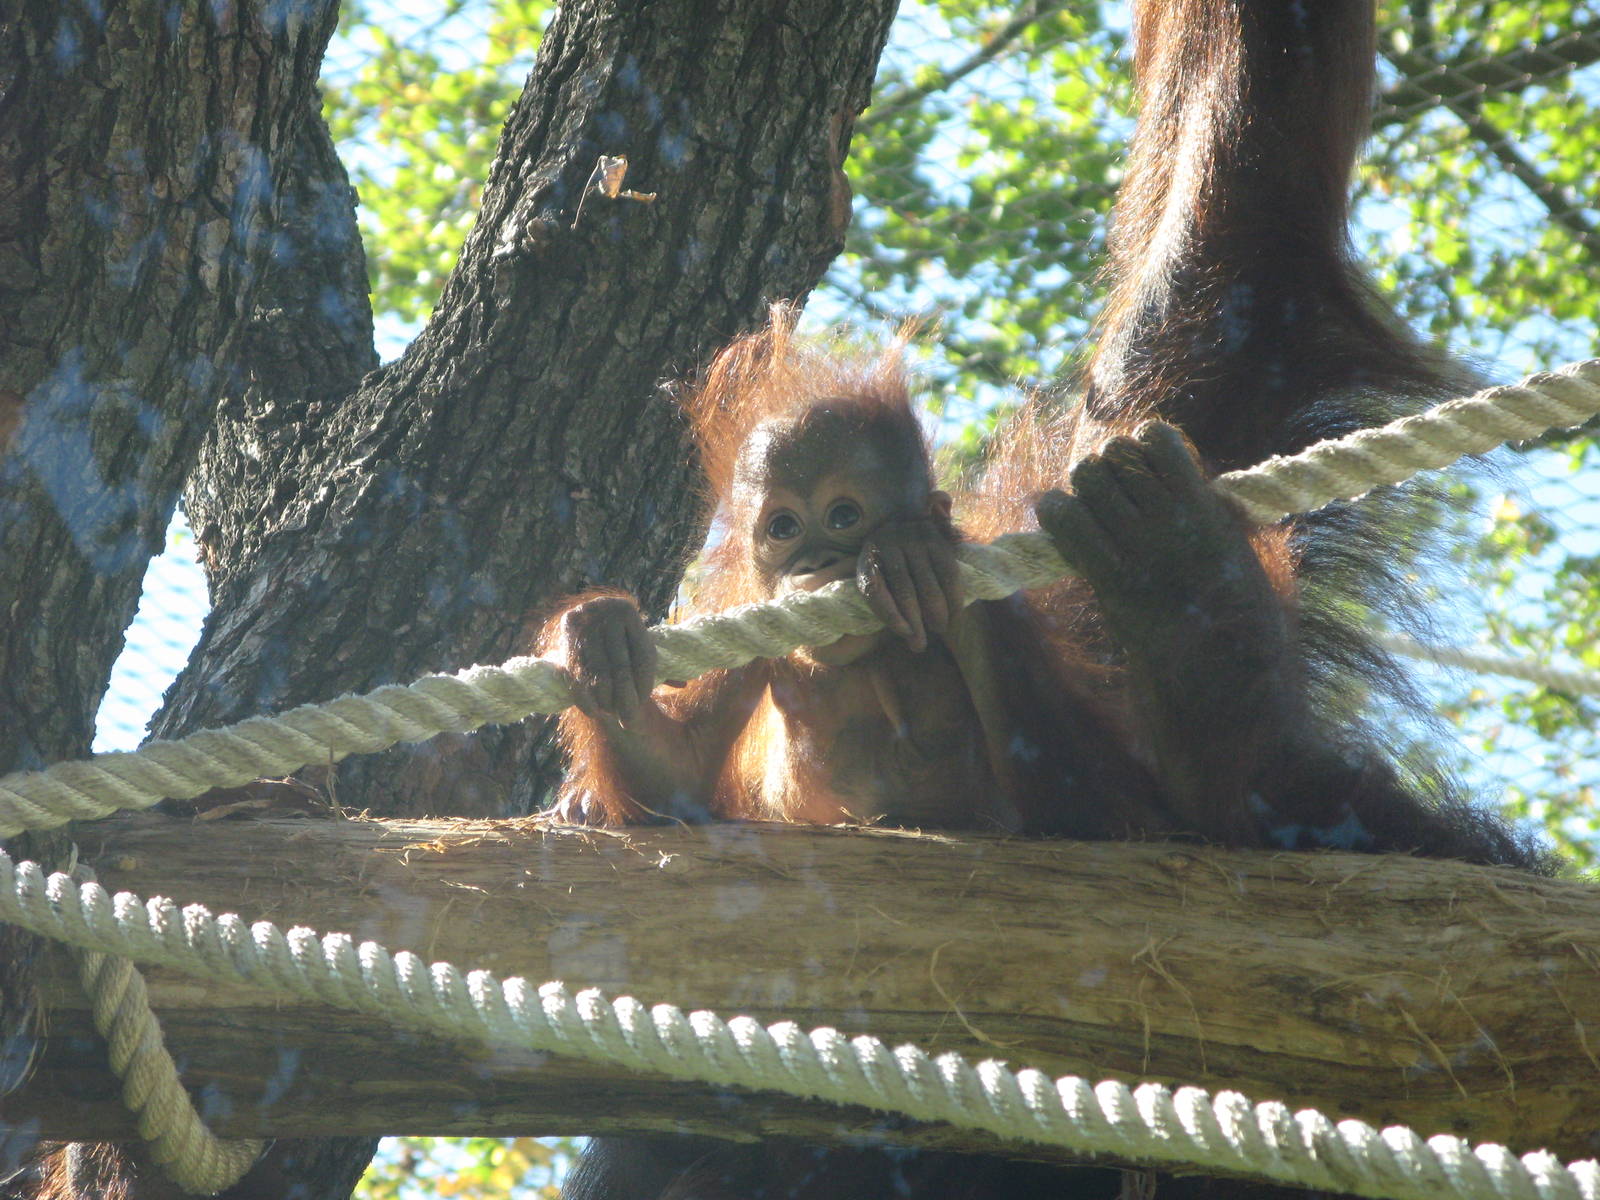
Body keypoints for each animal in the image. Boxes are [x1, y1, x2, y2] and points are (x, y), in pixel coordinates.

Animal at [542, 2, 1548, 1197]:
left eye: (845, 513)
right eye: (782, 525)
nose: (814, 563)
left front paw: (936, 574)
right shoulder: (749, 652)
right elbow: (669, 783)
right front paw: (605, 651)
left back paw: (1189, 617)